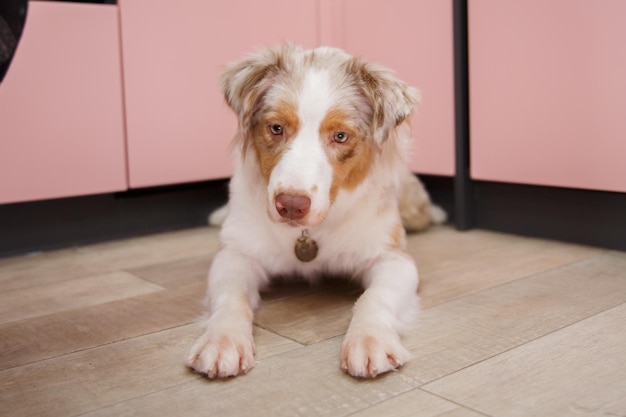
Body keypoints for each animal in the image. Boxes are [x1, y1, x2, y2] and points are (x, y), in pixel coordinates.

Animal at [185, 44, 444, 378]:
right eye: (276, 128)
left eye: (341, 136)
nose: (291, 205)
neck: (309, 232)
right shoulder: (236, 254)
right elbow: (231, 296)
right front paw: (221, 341)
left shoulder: (393, 258)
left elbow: (375, 297)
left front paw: (370, 340)